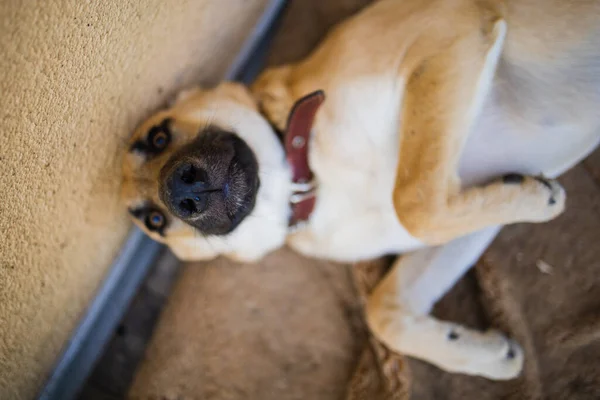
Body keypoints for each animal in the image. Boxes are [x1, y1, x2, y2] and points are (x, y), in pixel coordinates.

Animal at [122, 0, 600, 382]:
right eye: (155, 220)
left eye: (158, 138)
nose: (181, 193)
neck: (306, 181)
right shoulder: (460, 209)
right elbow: (383, 310)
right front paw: (482, 352)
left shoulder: (447, 31)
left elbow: (413, 200)